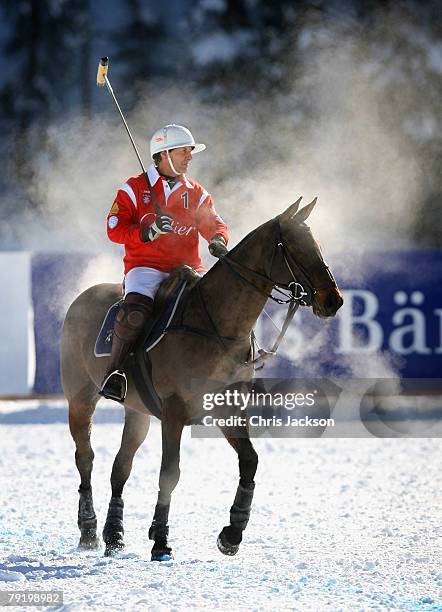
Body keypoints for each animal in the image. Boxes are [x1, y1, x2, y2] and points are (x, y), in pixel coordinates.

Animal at [59, 196, 342, 560]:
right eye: (294, 247)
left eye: (316, 244)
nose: (333, 300)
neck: (218, 326)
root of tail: (82, 296)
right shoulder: (173, 410)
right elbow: (170, 472)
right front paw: (160, 540)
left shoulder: (227, 408)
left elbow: (250, 460)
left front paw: (232, 533)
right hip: (80, 397)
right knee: (86, 458)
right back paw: (89, 530)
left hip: (136, 410)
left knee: (120, 467)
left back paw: (114, 536)